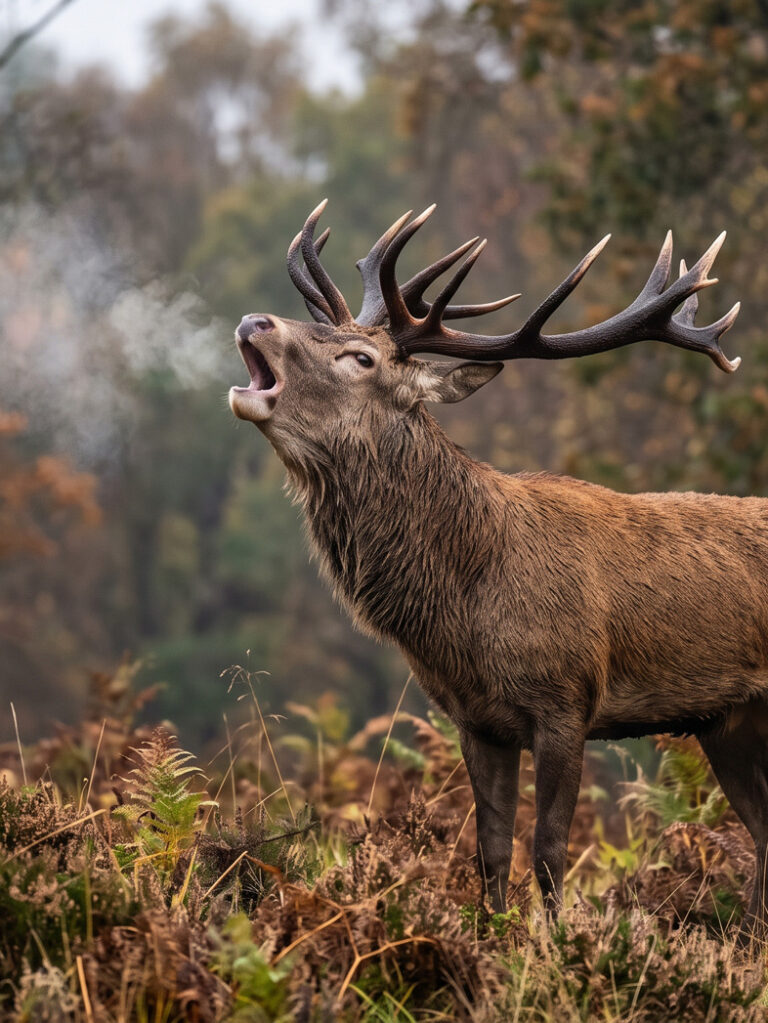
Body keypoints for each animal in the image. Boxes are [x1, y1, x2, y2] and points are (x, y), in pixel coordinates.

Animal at [228, 200, 765, 933]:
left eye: (360, 357)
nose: (255, 320)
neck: (468, 604)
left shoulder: (567, 698)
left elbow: (549, 847)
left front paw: (559, 943)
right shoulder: (476, 717)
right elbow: (490, 849)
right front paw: (495, 936)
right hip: (731, 722)